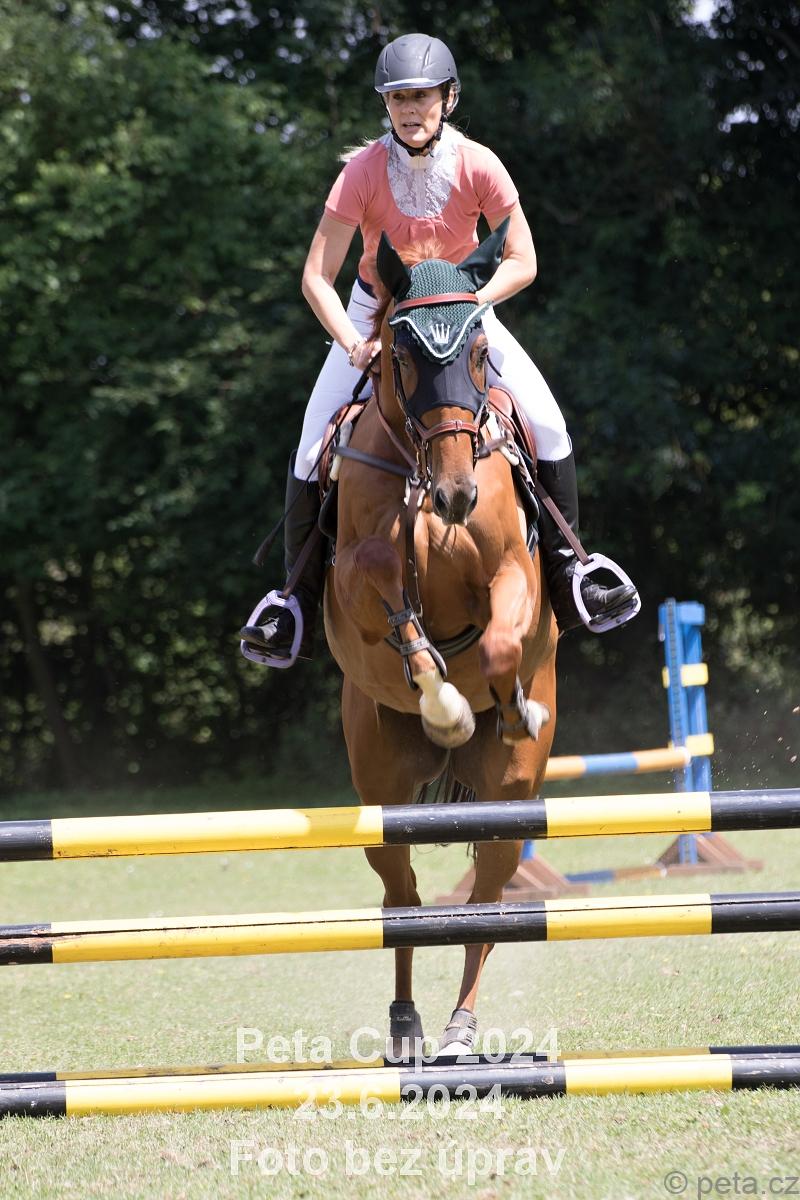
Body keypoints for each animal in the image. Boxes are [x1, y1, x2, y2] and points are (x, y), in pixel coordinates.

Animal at [323, 219, 558, 1055]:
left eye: (481, 350)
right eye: (405, 358)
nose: (456, 494)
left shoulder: (515, 572)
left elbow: (496, 643)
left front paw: (501, 705)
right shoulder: (352, 585)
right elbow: (387, 589)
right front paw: (444, 705)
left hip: (511, 803)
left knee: (486, 902)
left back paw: (461, 1028)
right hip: (380, 798)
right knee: (404, 901)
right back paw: (407, 1024)